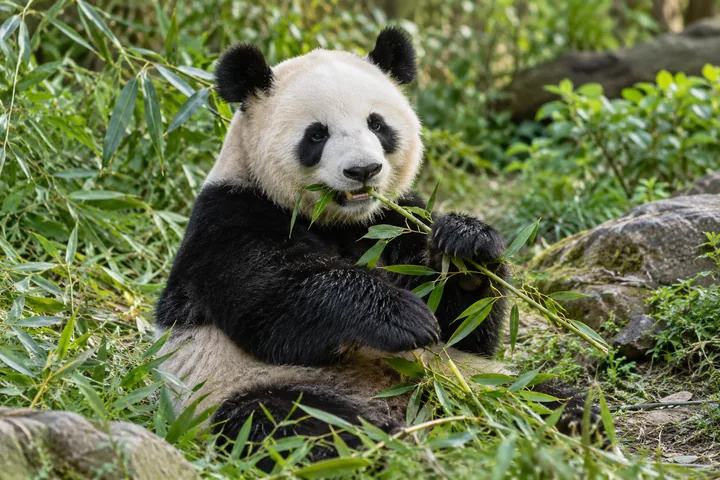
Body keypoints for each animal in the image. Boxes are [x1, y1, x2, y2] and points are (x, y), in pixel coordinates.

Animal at [155, 27, 596, 467]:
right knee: (289, 423)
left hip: (484, 378)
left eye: (377, 124)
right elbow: (275, 298)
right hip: (246, 386)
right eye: (317, 134)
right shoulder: (230, 216)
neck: (343, 221)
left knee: (548, 396)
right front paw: (403, 318)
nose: (363, 170)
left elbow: (465, 327)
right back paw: (391, 443)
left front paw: (467, 247)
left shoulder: (395, 219)